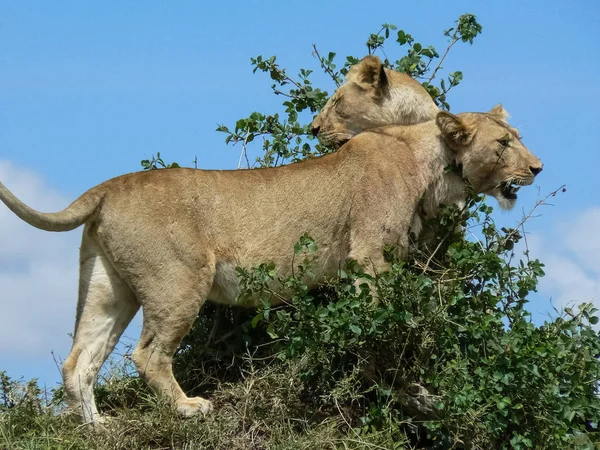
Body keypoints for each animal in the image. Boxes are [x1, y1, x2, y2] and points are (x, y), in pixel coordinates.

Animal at [0, 103, 544, 426]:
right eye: (504, 143)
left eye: (518, 136)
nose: (538, 168)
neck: (431, 167)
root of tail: (109, 186)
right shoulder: (368, 257)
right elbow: (382, 328)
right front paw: (397, 380)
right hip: (181, 280)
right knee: (148, 354)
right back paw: (188, 407)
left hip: (109, 288)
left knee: (78, 361)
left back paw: (97, 427)